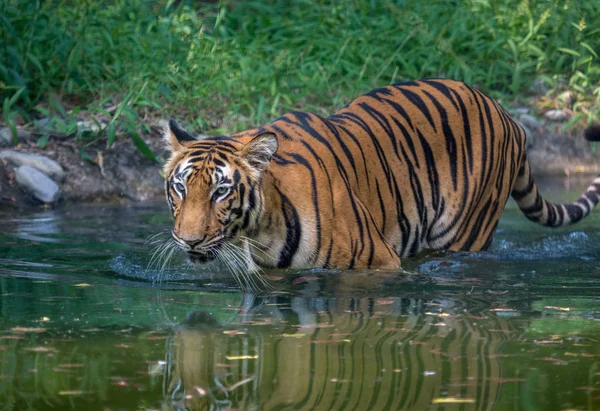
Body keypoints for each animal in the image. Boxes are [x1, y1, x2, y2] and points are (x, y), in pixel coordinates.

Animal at [163, 77, 600, 284]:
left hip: (463, 236)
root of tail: (508, 115)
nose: (189, 241)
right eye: (180, 188)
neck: (263, 229)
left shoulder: (378, 263)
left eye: (221, 192)